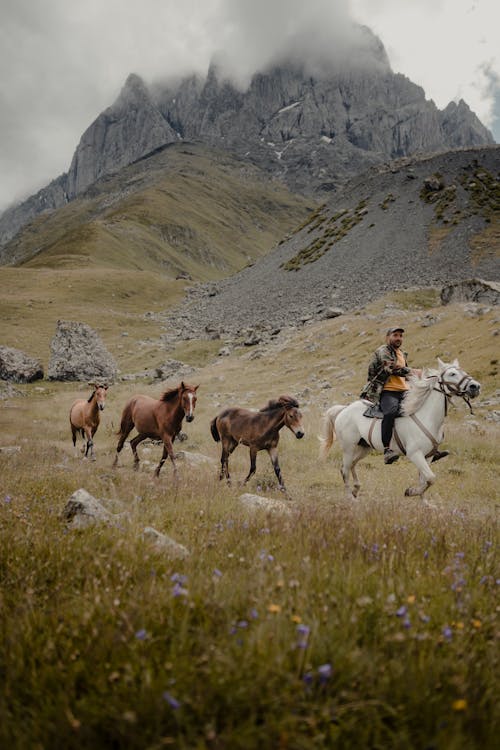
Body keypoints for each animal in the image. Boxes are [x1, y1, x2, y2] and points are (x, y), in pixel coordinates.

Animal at [320, 362, 480, 502]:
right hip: (348, 448)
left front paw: (425, 503)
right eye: (452, 374)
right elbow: (430, 478)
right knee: (344, 470)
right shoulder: (415, 454)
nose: (475, 386)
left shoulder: (428, 457)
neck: (427, 417)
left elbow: (424, 480)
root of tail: (344, 409)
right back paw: (350, 498)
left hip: (364, 448)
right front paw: (410, 492)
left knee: (352, 465)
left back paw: (356, 490)